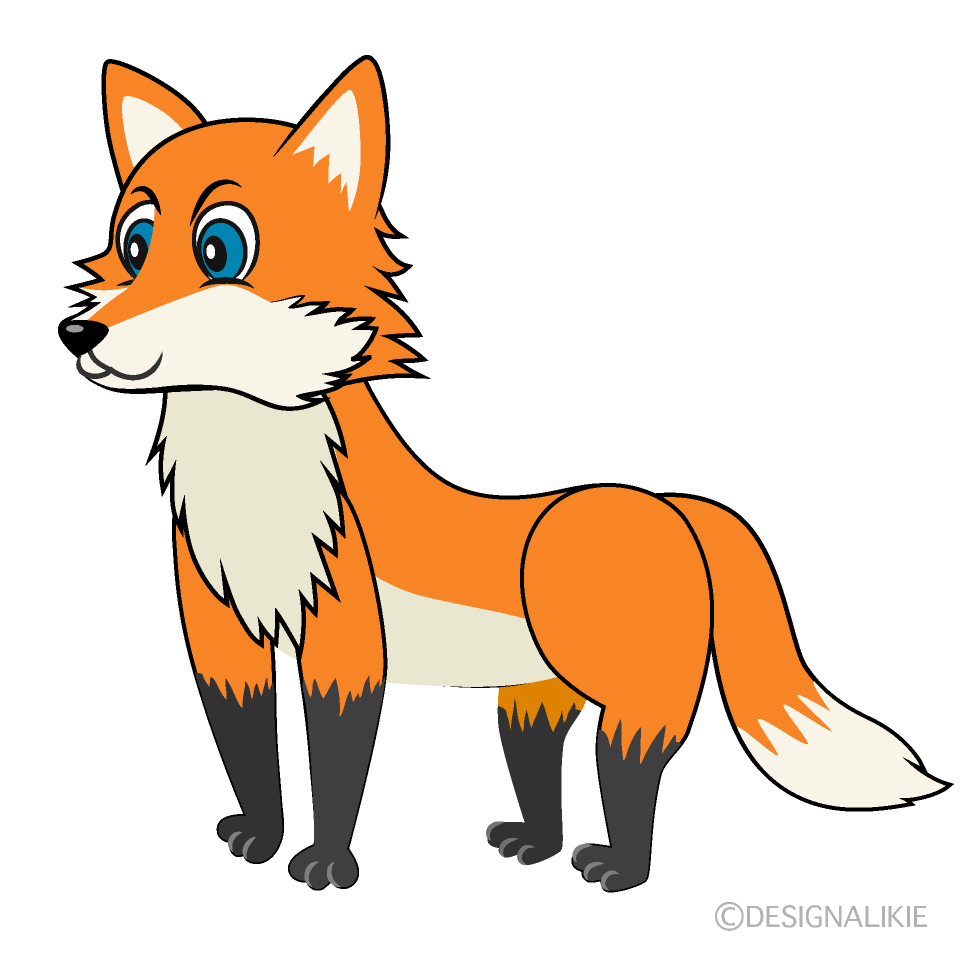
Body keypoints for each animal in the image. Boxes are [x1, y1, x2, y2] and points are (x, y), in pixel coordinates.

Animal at [59, 56, 949, 893]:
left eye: (220, 250)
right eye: (133, 245)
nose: (78, 333)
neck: (252, 495)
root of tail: (669, 503)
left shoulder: (347, 645)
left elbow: (335, 765)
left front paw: (326, 863)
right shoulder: (223, 640)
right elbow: (247, 753)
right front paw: (261, 838)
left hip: (629, 705)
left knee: (634, 778)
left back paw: (619, 869)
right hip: (532, 697)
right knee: (540, 766)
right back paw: (534, 843)